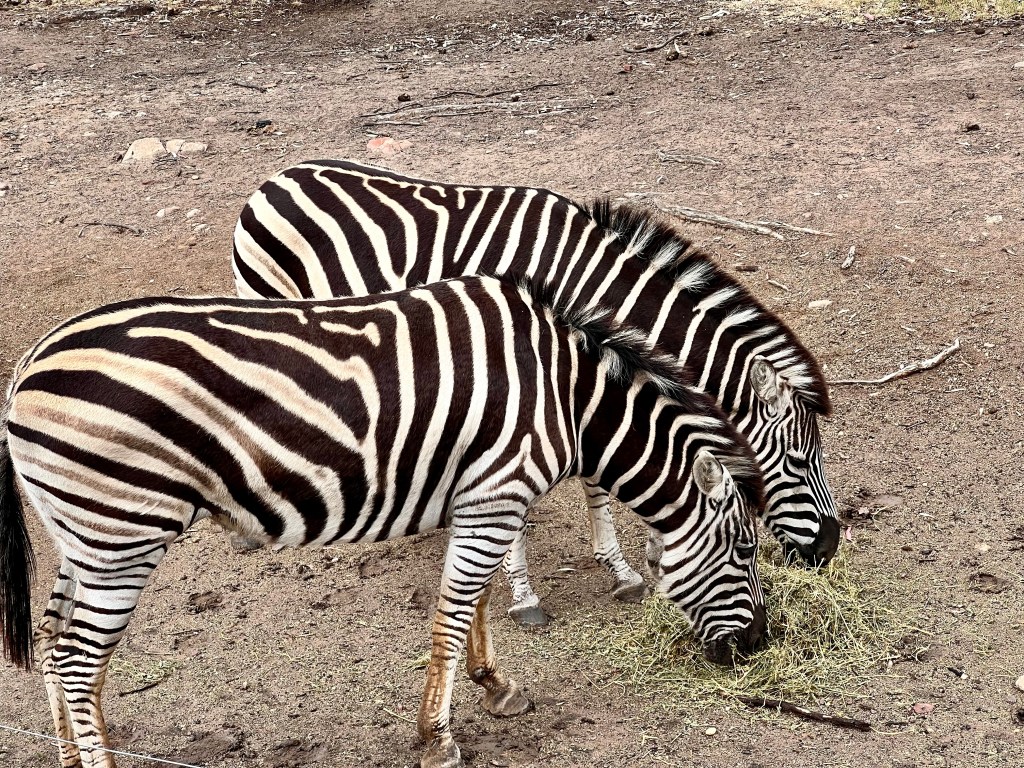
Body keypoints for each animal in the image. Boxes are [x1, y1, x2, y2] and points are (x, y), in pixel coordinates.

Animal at [1, 275, 766, 768]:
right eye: (744, 550)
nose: (757, 647)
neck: (568, 397)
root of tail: (31, 363)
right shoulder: (498, 492)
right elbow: (453, 612)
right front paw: (438, 739)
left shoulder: (478, 494)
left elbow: (474, 602)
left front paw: (494, 686)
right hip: (123, 533)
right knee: (76, 660)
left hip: (84, 534)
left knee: (53, 640)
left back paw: (71, 755)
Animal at [231, 159, 840, 623]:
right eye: (796, 459)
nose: (829, 548)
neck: (591, 282)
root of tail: (275, 179)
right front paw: (523, 593)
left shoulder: (593, 372)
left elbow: (597, 481)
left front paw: (623, 567)